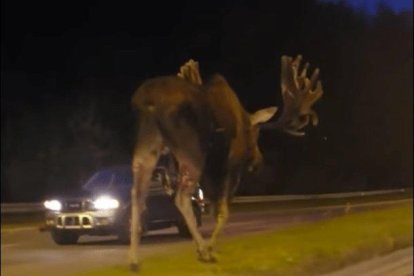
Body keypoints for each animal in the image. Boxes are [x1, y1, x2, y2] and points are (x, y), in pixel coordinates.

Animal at [129, 54, 324, 270]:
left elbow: (213, 208)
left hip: (148, 142)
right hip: (191, 151)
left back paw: (134, 260)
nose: (258, 161)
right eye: (256, 135)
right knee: (180, 198)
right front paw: (208, 249)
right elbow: (223, 211)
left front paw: (202, 248)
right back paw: (205, 252)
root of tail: (146, 99)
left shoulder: (209, 172)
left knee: (137, 193)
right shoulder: (230, 165)